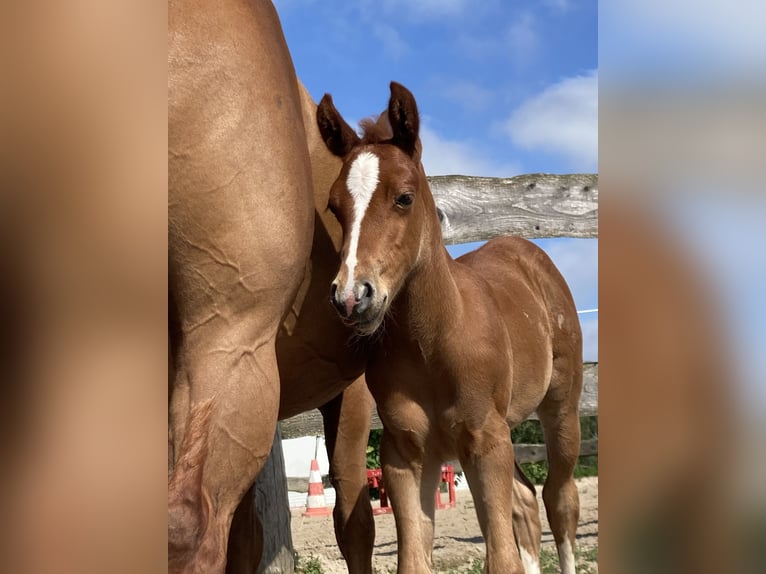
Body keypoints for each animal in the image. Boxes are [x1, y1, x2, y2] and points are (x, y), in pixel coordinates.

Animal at [316, 82, 584, 574]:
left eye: (404, 197)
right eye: (334, 206)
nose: (351, 295)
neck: (433, 344)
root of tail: (525, 249)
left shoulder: (486, 444)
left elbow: (502, 557)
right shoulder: (405, 456)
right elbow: (414, 561)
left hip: (561, 407)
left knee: (560, 501)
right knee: (526, 501)